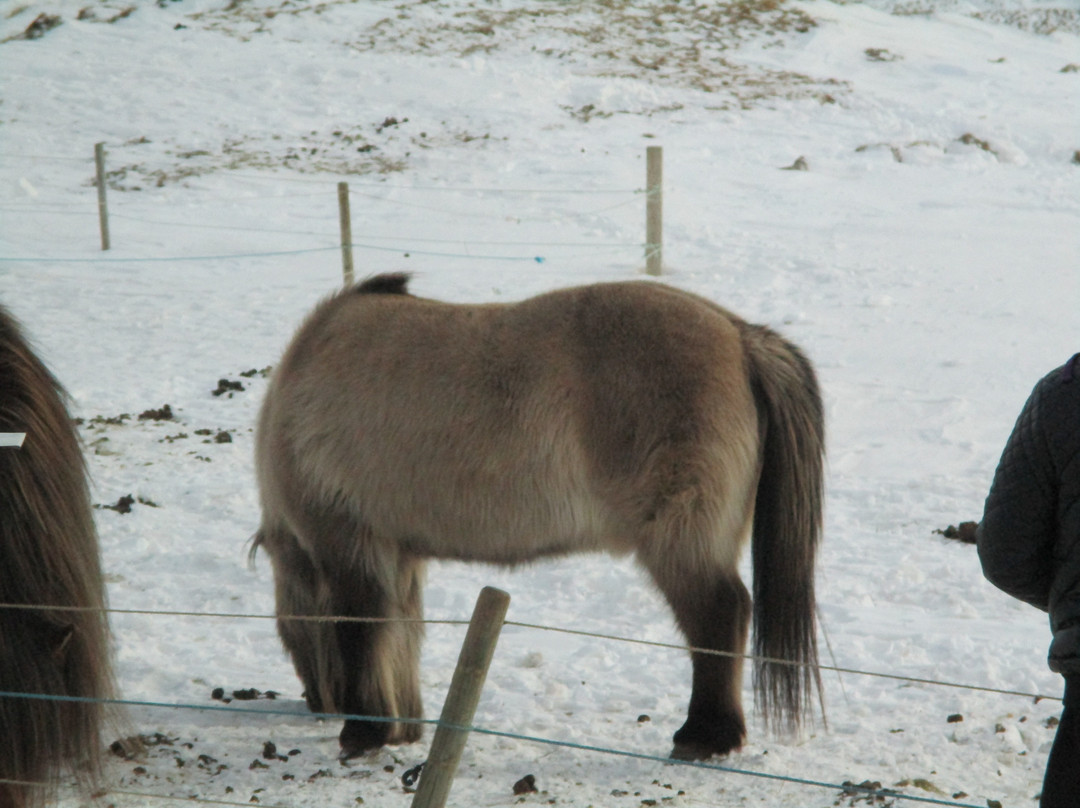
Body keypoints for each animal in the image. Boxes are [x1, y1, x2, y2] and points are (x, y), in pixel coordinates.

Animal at [252, 273, 825, 761]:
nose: (317, 702)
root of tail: (739, 335)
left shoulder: (348, 543)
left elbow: (361, 628)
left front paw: (365, 731)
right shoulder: (397, 549)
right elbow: (400, 633)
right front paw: (400, 728)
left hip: (680, 543)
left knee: (719, 615)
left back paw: (704, 736)